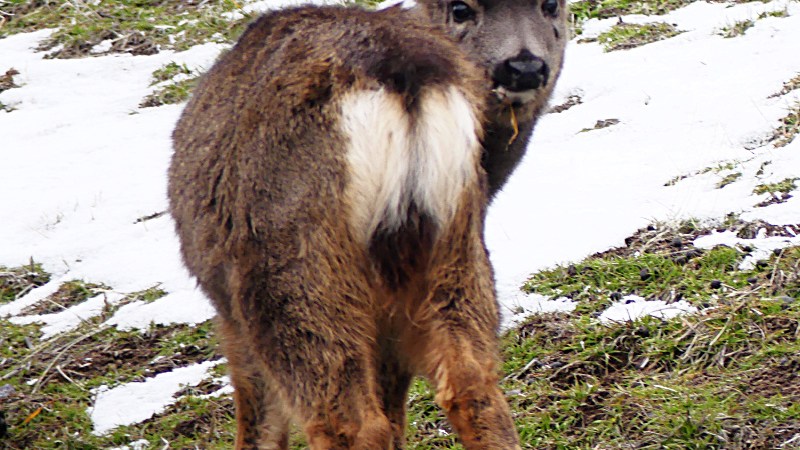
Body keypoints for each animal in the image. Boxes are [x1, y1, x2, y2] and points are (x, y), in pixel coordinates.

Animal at [168, 0, 567, 448]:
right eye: (460, 9)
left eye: (550, 5)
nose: (524, 67)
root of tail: (399, 71)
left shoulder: (228, 311)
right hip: (455, 245)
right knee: (472, 387)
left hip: (289, 269)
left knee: (349, 420)